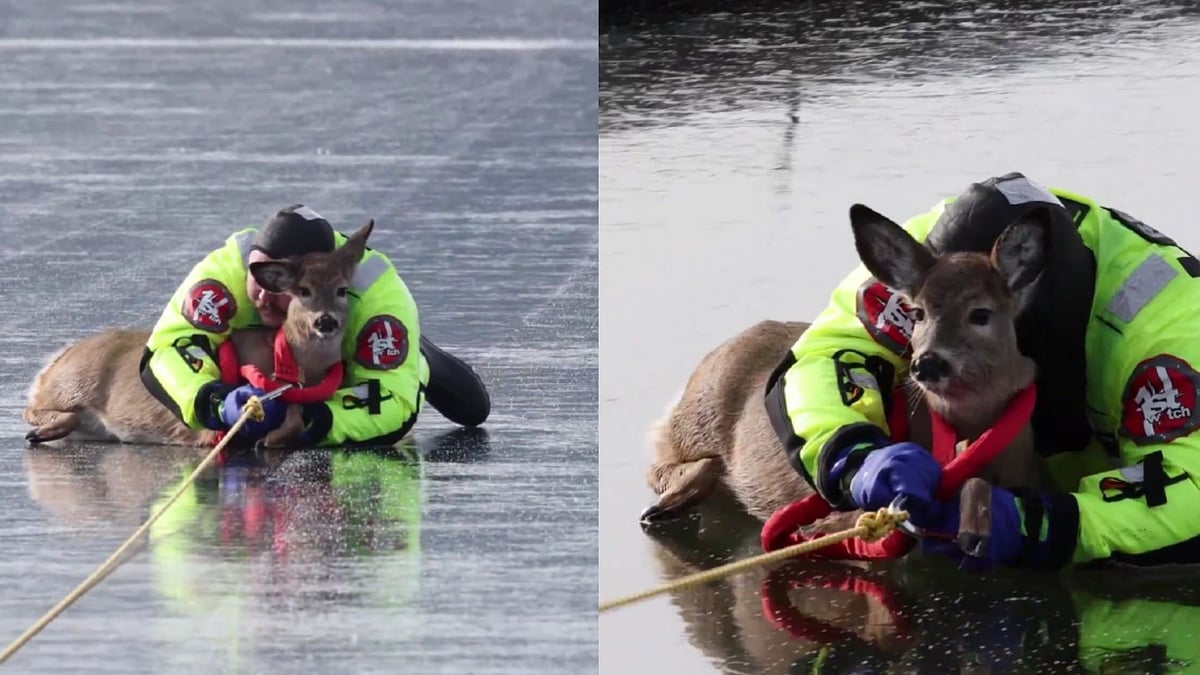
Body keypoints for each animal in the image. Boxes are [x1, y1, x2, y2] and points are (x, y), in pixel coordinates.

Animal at [22, 220, 375, 450]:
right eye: (303, 290)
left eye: (342, 289)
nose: (325, 322)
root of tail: (56, 359)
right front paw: (268, 437)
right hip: (72, 384)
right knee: (33, 408)